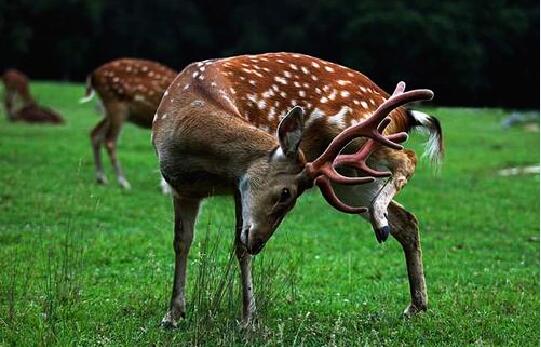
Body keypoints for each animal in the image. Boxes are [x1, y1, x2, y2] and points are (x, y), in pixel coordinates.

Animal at [80, 58, 177, 192]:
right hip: (116, 103)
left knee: (95, 133)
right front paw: (166, 189)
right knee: (110, 140)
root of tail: (93, 76)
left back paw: (101, 178)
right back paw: (123, 182)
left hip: (111, 111)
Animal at [152, 53, 442, 328]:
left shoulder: (238, 188)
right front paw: (172, 315)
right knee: (407, 219)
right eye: (285, 193)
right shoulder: (181, 189)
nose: (259, 243)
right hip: (346, 178)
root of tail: (402, 112)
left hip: (361, 139)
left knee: (408, 158)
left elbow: (239, 248)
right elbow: (181, 242)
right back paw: (415, 304)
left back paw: (382, 221)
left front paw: (249, 320)